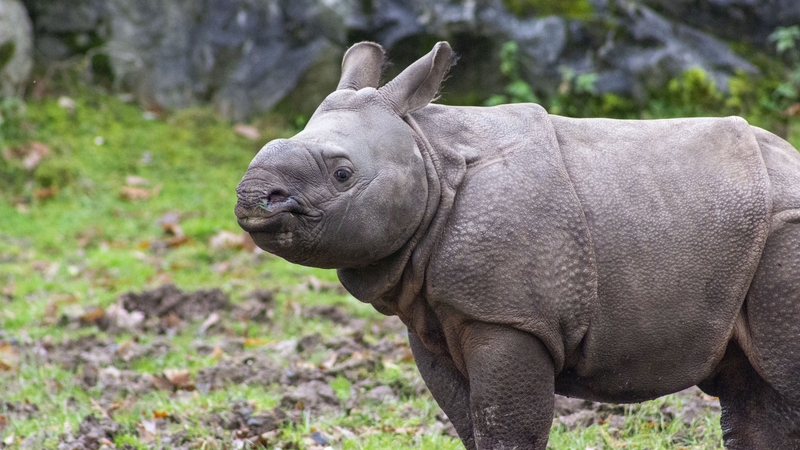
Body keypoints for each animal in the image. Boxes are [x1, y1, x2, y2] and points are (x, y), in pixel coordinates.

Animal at [235, 41, 800, 449]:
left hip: (785, 237)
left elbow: (506, 426)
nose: (250, 198)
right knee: (755, 388)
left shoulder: (511, 316)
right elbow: (469, 422)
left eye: (343, 174)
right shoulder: (435, 315)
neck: (430, 156)